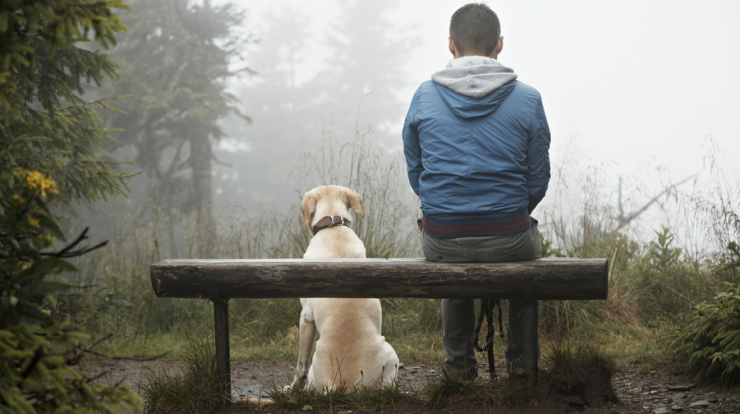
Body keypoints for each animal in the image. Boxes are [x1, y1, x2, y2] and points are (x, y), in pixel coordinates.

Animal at [290, 185, 402, 392]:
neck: (333, 227)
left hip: (389, 351)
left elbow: (301, 363)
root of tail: (341, 386)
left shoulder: (306, 316)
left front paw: (292, 388)